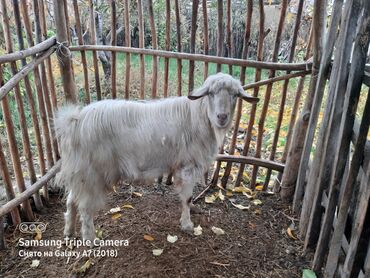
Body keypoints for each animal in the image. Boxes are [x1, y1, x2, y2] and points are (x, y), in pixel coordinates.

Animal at [54, 73, 258, 242]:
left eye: (235, 95)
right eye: (211, 93)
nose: (222, 117)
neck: (198, 116)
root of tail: (74, 121)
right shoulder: (188, 166)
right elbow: (187, 197)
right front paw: (187, 224)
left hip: (81, 173)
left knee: (71, 200)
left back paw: (68, 231)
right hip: (92, 173)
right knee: (85, 208)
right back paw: (90, 239)